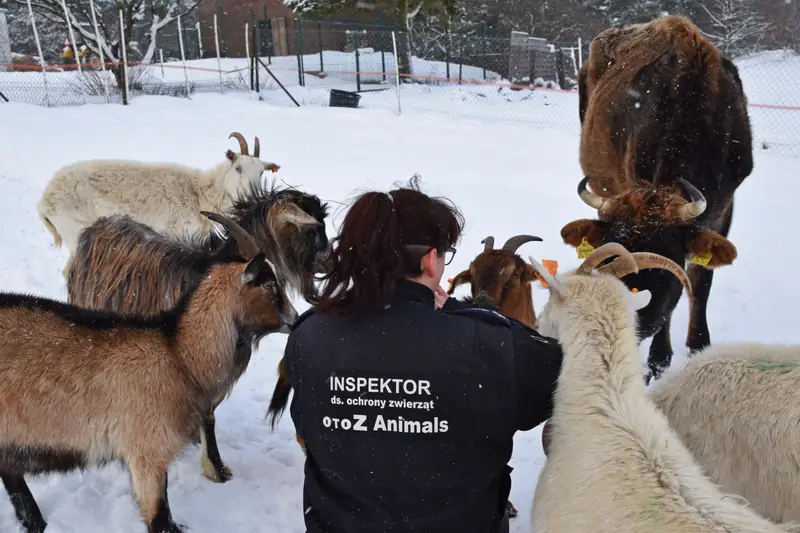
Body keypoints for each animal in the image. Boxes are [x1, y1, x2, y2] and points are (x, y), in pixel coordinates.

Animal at [36, 131, 280, 276]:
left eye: (261, 172)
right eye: (238, 168)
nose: (254, 194)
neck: (199, 194)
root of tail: (44, 202)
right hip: (76, 231)